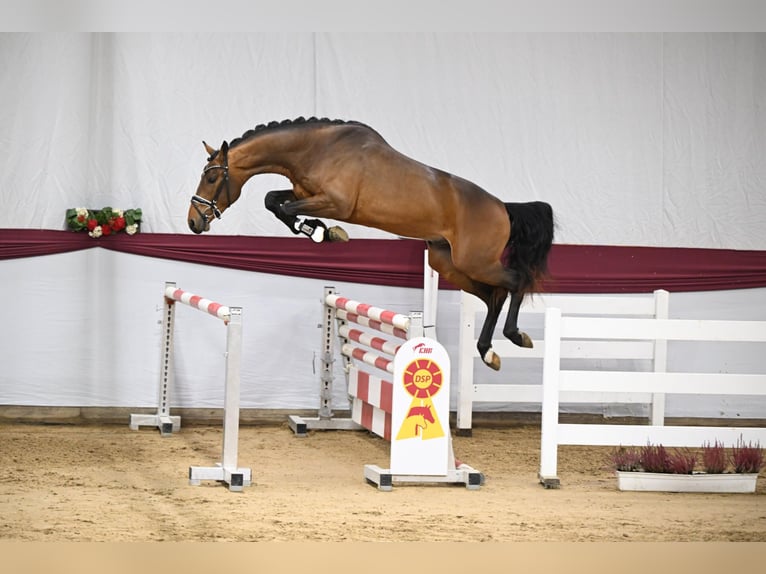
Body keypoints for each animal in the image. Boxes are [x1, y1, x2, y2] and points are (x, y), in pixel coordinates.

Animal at [189, 117, 556, 372]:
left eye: (212, 177)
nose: (193, 222)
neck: (317, 150)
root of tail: (503, 208)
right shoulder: (305, 194)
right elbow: (273, 201)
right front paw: (322, 232)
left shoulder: (334, 203)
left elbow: (285, 208)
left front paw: (321, 232)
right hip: (448, 264)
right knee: (494, 296)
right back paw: (487, 351)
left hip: (475, 262)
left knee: (515, 282)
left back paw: (515, 336)